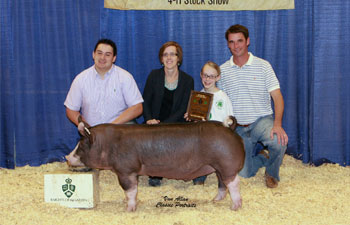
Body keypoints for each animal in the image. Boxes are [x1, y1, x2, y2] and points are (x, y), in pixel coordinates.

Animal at [67, 117, 245, 212]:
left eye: (81, 144)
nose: (67, 157)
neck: (107, 144)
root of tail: (229, 127)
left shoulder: (126, 170)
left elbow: (130, 190)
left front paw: (128, 209)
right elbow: (131, 191)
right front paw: (129, 204)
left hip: (226, 164)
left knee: (234, 183)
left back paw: (235, 207)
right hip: (218, 167)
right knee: (223, 183)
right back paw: (215, 200)